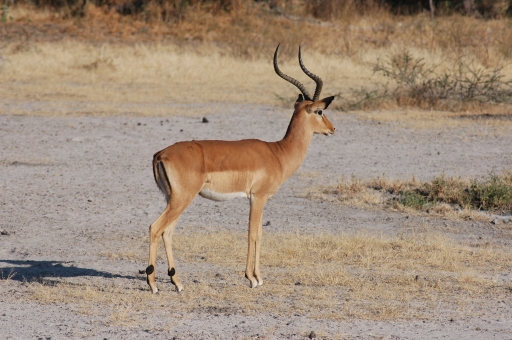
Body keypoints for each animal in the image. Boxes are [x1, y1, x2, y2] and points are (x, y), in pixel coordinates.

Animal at [144, 43, 336, 292]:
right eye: (320, 111)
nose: (332, 129)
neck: (278, 153)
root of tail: (160, 154)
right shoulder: (258, 197)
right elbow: (253, 234)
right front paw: (253, 278)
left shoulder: (257, 199)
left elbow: (259, 233)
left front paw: (257, 277)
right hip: (181, 199)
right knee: (155, 227)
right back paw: (153, 284)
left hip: (174, 199)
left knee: (167, 232)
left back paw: (177, 282)